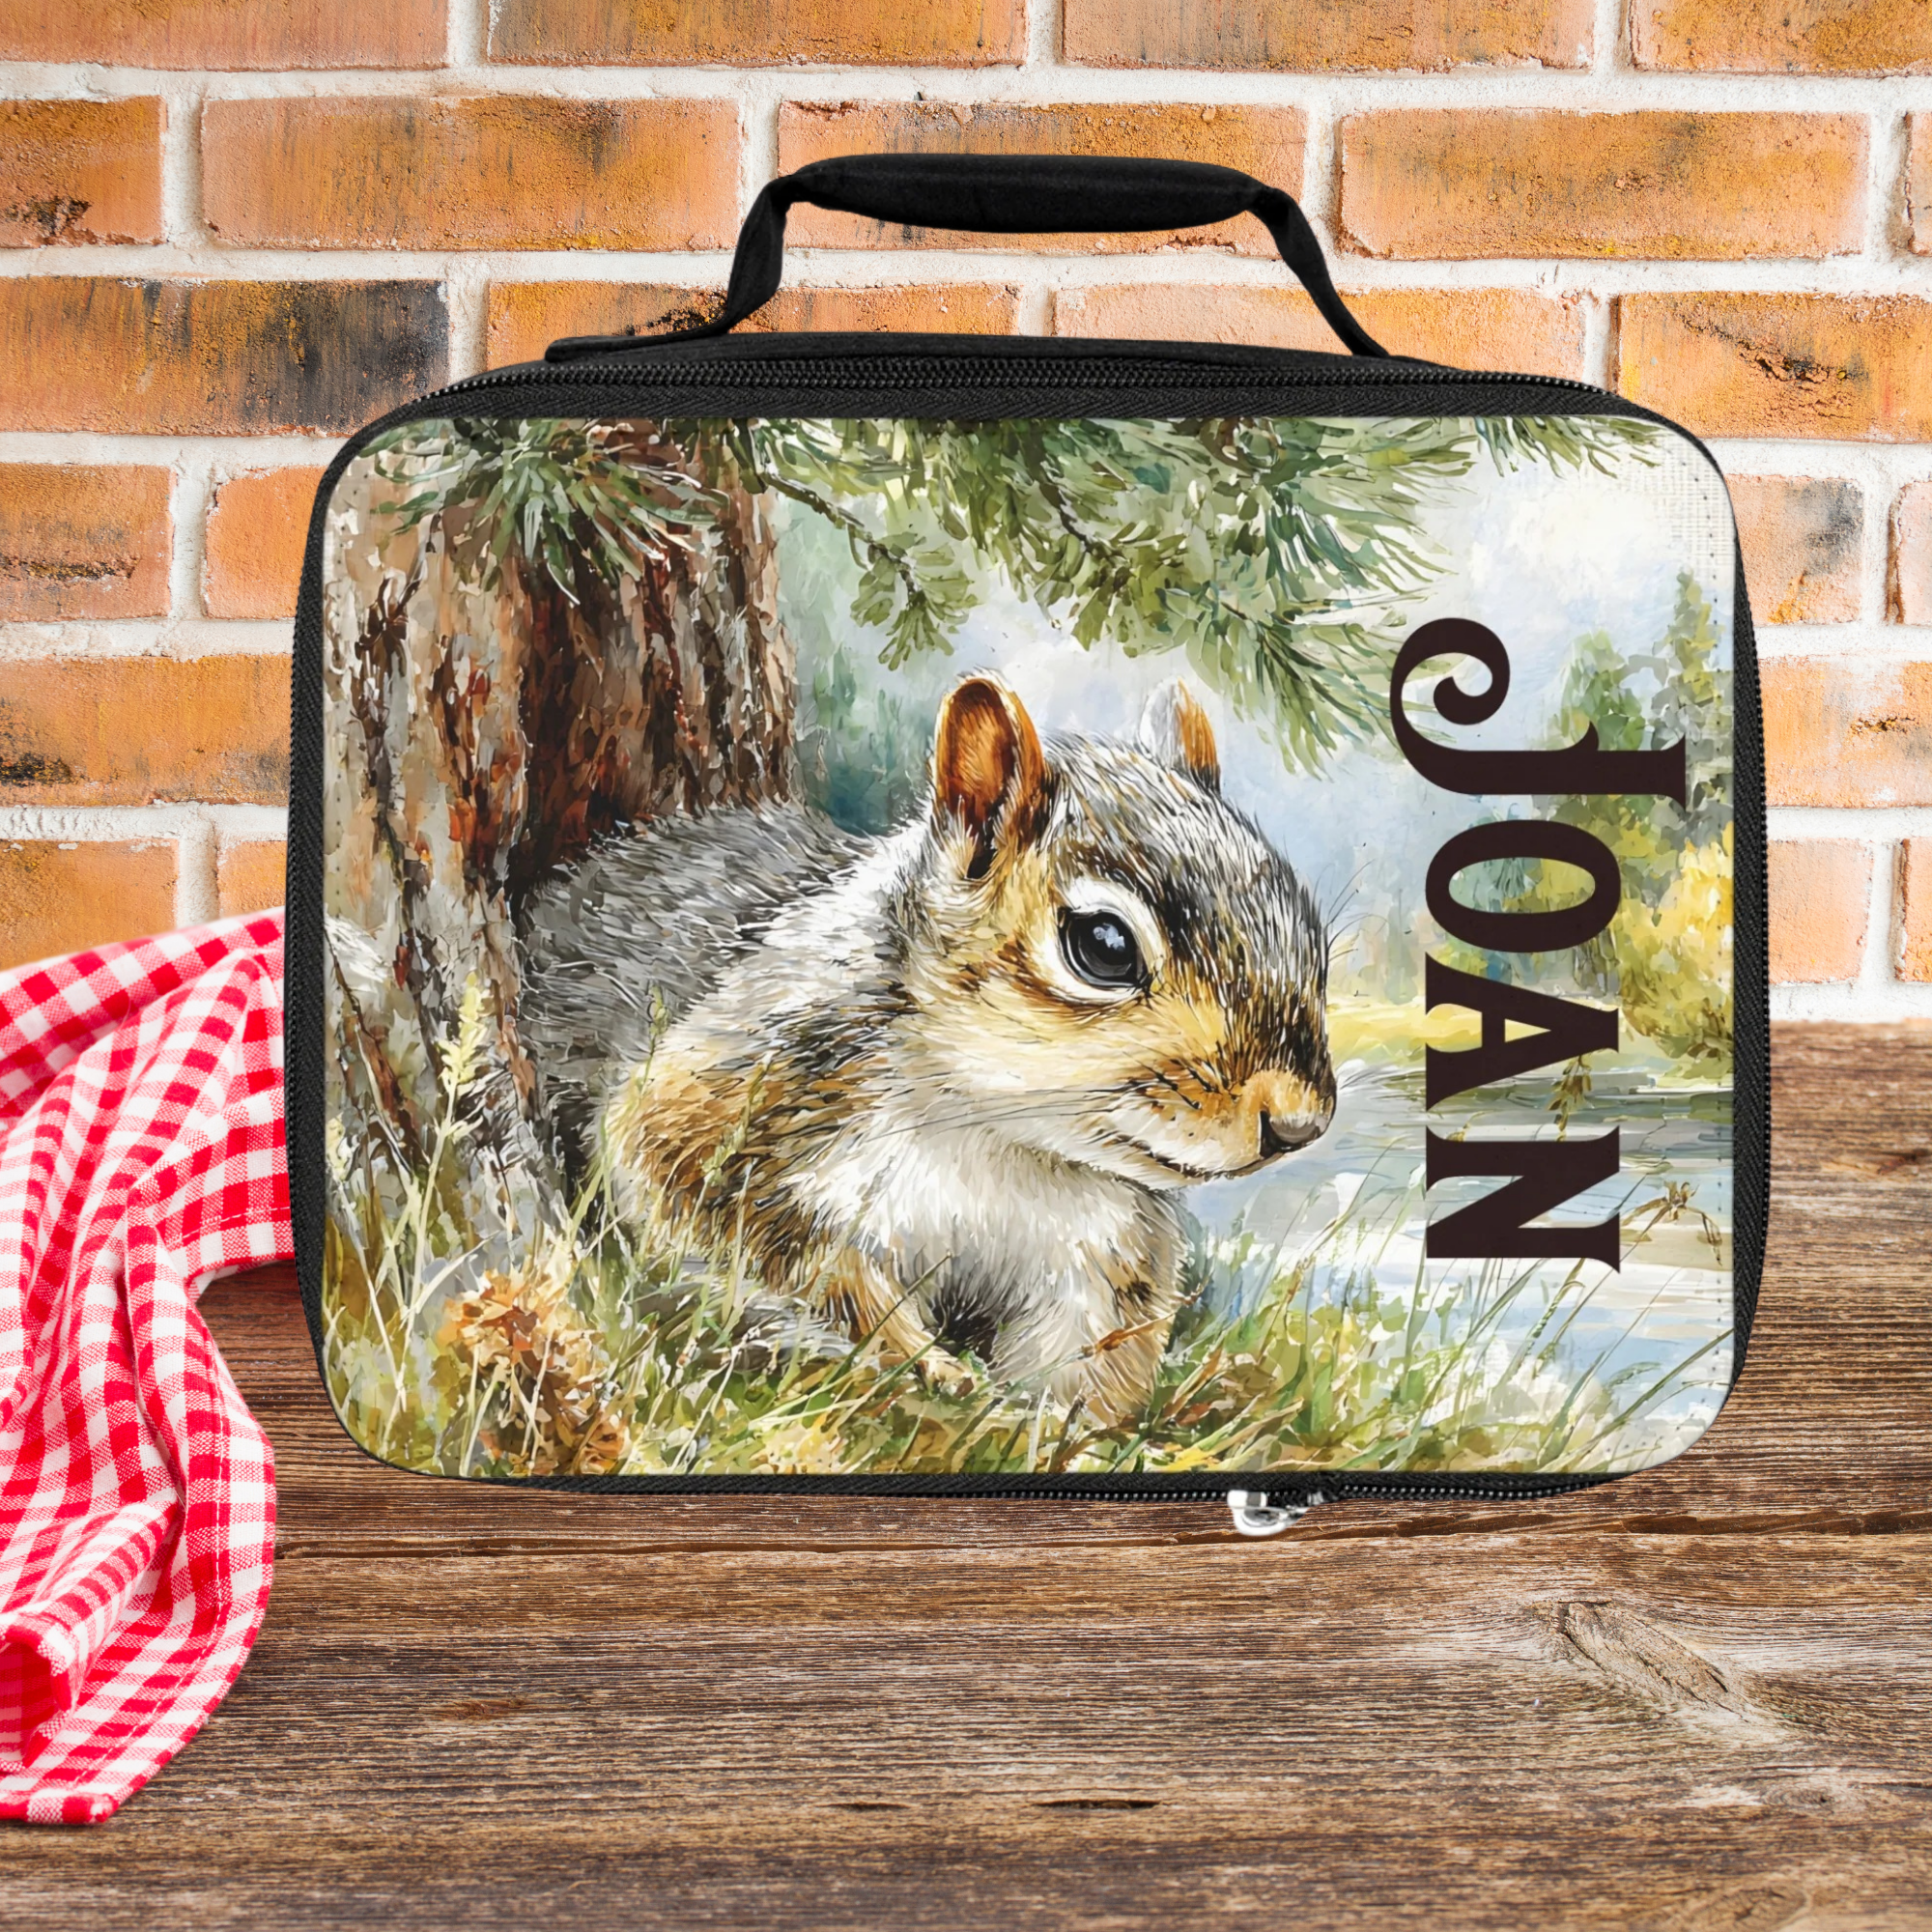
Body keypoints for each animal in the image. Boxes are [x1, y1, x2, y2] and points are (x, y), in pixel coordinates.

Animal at [517, 672, 1336, 1425]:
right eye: (1103, 946)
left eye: (1309, 927)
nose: (1300, 1123)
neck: (998, 1138)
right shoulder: (734, 1105)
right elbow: (778, 1253)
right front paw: (926, 1364)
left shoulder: (1103, 1250)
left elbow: (1091, 1356)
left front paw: (1063, 1423)